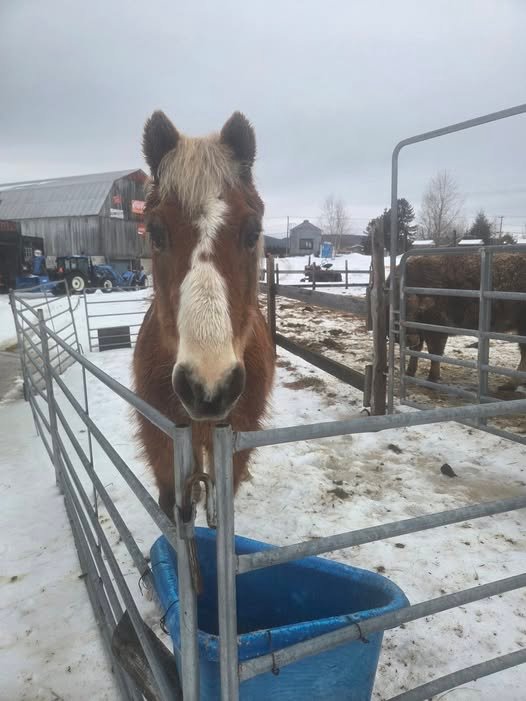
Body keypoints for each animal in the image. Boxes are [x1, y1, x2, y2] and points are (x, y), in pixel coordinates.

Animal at [133, 110, 275, 518]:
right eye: (155, 232)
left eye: (253, 232)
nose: (209, 385)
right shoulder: (164, 445)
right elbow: (174, 507)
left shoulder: (233, 447)